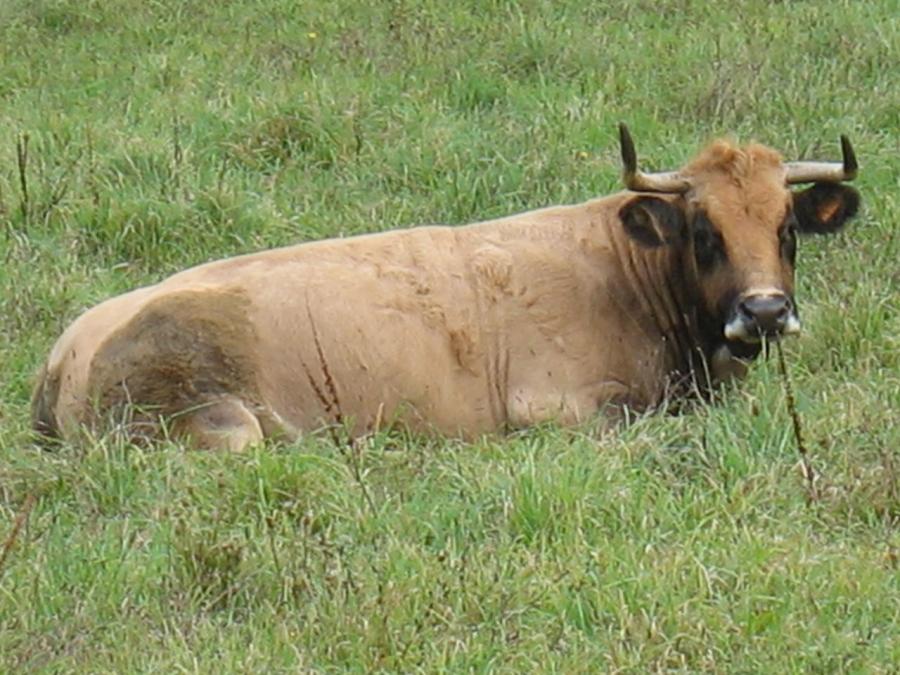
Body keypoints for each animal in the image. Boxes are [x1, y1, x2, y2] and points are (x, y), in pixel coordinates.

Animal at [31, 125, 860, 451]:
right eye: (703, 230)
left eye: (787, 226)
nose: (764, 309)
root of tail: (70, 344)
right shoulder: (556, 409)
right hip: (221, 424)